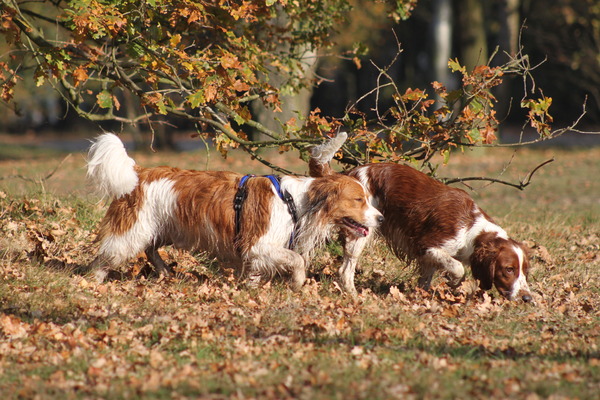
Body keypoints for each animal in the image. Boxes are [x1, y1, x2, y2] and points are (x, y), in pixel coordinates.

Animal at [81, 133, 380, 290]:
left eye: (368, 198)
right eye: (358, 200)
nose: (381, 218)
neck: (294, 202)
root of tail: (139, 172)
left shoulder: (259, 253)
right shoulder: (257, 244)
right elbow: (297, 260)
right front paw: (298, 283)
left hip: (164, 227)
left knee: (150, 249)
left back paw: (165, 272)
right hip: (131, 232)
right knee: (105, 257)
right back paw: (92, 282)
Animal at [310, 133, 536, 302]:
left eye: (525, 270)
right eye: (508, 269)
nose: (527, 298)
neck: (472, 229)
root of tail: (350, 174)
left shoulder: (430, 258)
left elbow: (426, 280)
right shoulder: (426, 245)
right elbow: (458, 267)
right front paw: (454, 282)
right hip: (360, 232)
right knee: (345, 270)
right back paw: (355, 296)